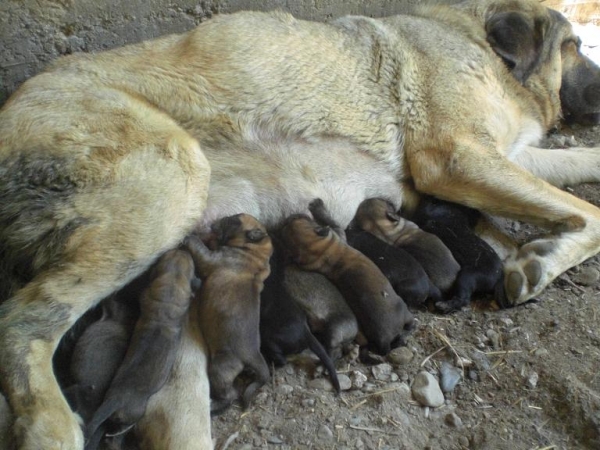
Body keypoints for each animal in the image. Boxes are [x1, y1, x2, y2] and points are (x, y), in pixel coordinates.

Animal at [186, 214, 274, 414]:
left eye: (235, 221)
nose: (219, 219)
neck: (253, 252)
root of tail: (253, 354)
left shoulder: (210, 258)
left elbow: (199, 247)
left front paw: (190, 237)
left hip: (220, 367)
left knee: (229, 394)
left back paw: (214, 405)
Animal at [280, 204, 412, 356]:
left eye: (298, 219)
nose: (290, 217)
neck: (321, 251)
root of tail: (384, 341)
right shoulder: (339, 234)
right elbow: (332, 221)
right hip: (402, 308)